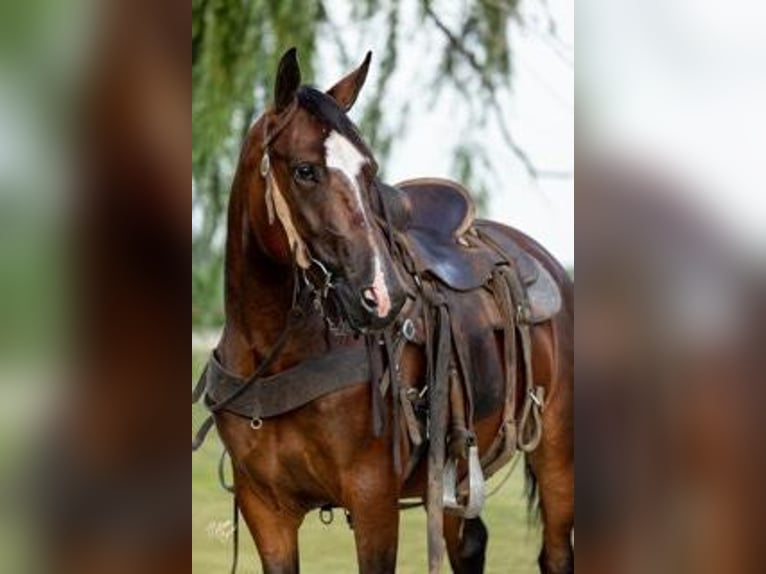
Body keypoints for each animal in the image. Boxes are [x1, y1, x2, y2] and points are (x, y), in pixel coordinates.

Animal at [196, 48, 574, 574]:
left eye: (368, 171)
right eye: (305, 170)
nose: (382, 294)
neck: (274, 353)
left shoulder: (372, 499)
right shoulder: (264, 510)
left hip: (556, 453)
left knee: (556, 553)